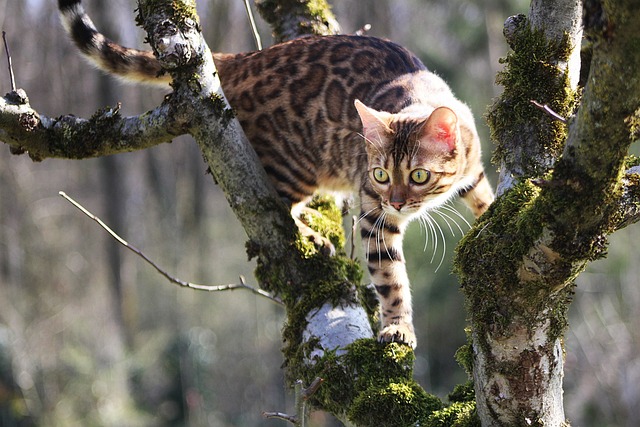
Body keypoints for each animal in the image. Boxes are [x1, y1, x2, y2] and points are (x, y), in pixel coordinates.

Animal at [57, 0, 496, 348]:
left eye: (418, 176)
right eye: (381, 175)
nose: (398, 203)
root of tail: (242, 58)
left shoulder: (472, 169)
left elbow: (482, 194)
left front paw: (491, 210)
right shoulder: (374, 215)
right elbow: (391, 279)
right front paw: (399, 327)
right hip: (297, 165)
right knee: (277, 207)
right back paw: (313, 235)